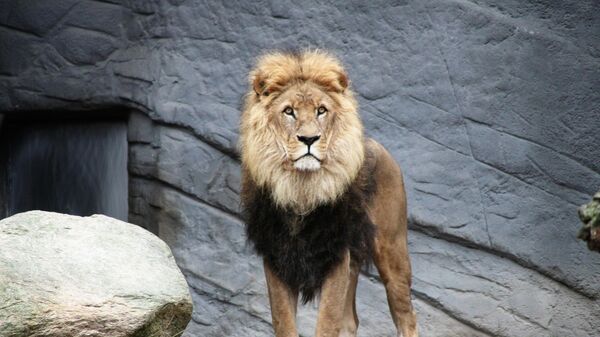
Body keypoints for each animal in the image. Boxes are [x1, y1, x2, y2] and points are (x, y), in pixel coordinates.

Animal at [239, 50, 418, 336]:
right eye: (289, 111)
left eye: (321, 110)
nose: (309, 139)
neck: (301, 188)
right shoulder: (276, 256)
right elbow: (284, 322)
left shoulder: (336, 253)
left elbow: (327, 321)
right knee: (350, 321)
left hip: (392, 250)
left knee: (406, 316)